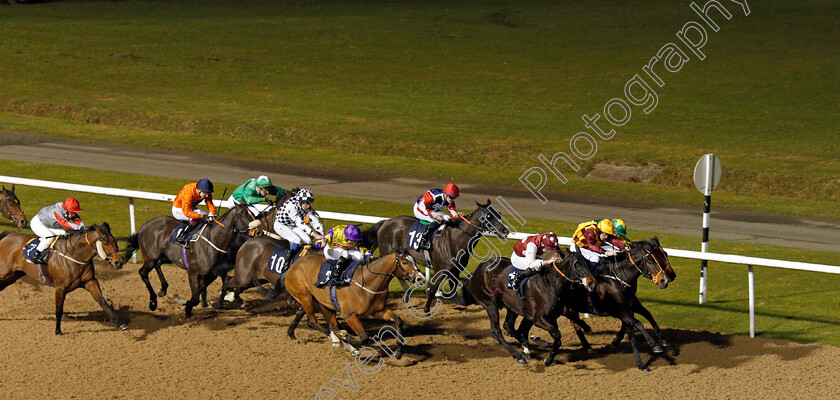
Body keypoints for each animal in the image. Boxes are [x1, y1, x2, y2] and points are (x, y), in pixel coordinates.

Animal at [123, 205, 251, 318]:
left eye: (252, 214)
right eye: (243, 214)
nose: (254, 231)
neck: (214, 240)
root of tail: (144, 226)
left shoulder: (215, 272)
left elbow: (213, 287)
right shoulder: (193, 272)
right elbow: (196, 297)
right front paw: (188, 306)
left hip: (164, 256)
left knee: (157, 265)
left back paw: (163, 289)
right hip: (151, 257)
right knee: (143, 272)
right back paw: (153, 302)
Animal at [286, 252, 424, 358]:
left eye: (414, 261)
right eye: (405, 262)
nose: (420, 278)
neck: (367, 282)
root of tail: (293, 266)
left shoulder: (378, 311)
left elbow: (398, 321)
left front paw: (399, 352)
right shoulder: (349, 315)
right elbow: (364, 337)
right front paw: (346, 339)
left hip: (322, 303)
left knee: (330, 325)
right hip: (305, 297)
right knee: (313, 322)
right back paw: (340, 341)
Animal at [372, 199, 506, 312]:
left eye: (499, 214)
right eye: (488, 216)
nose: (505, 231)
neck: (456, 239)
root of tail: (385, 222)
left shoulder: (454, 271)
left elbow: (456, 296)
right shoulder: (440, 269)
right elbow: (432, 289)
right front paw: (427, 308)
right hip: (388, 254)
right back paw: (406, 293)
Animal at [462, 256, 592, 366]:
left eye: (588, 262)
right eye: (577, 265)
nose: (591, 282)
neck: (551, 286)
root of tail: (474, 272)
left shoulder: (547, 317)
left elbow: (555, 338)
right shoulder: (538, 319)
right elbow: (557, 335)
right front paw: (548, 359)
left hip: (511, 307)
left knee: (508, 325)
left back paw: (526, 347)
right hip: (490, 304)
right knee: (496, 331)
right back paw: (518, 355)